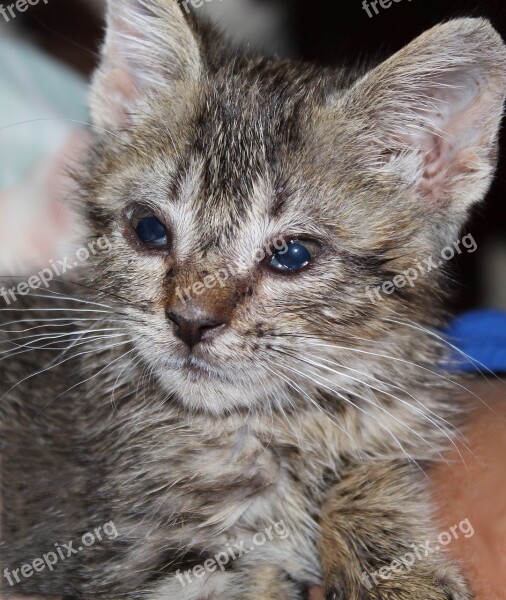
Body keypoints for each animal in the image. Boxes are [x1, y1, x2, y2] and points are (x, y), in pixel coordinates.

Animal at [0, 2, 506, 596]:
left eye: (292, 255)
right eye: (150, 230)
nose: (190, 321)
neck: (276, 423)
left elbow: (371, 463)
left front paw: (395, 564)